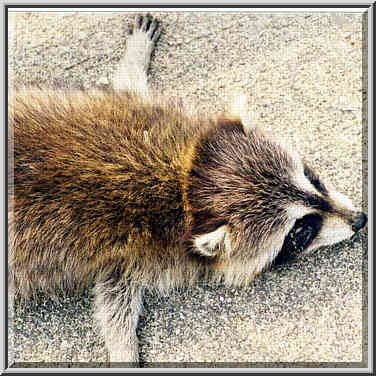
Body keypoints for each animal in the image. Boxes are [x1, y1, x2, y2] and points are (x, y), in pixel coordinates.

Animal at [8, 14, 368, 364]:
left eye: (312, 177)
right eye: (301, 232)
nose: (360, 220)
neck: (186, 185)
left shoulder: (142, 117)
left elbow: (125, 87)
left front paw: (135, 56)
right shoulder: (136, 248)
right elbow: (114, 294)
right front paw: (124, 349)